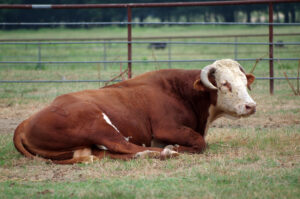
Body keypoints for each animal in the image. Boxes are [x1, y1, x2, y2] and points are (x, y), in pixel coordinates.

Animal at [13, 58, 255, 163]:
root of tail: (25, 123)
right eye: (224, 83)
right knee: (123, 145)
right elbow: (199, 142)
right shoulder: (166, 128)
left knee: (107, 153)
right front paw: (174, 146)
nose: (251, 106)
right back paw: (165, 152)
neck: (181, 91)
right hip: (97, 123)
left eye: (245, 81)